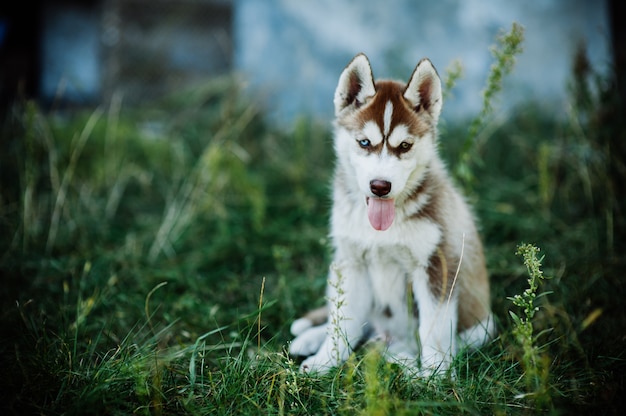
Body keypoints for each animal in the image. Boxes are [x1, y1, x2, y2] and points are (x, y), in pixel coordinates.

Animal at [288, 53, 492, 376]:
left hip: (481, 328)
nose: (380, 186)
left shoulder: (437, 265)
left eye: (405, 146)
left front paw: (435, 377)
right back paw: (310, 337)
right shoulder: (353, 262)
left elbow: (433, 330)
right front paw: (325, 360)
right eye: (364, 142)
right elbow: (343, 322)